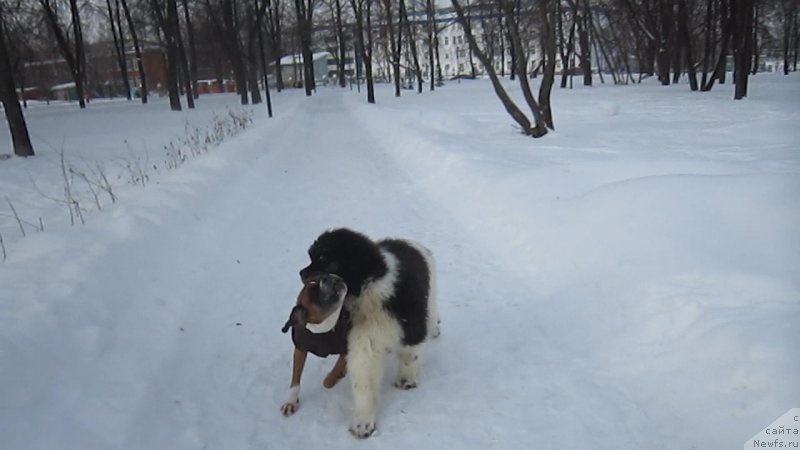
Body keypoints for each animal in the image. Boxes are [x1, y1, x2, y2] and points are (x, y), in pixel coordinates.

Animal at [280, 270, 348, 414]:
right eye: (313, 294)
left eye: (320, 278)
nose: (327, 276)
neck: (323, 329)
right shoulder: (300, 350)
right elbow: (295, 379)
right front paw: (291, 401)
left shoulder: (346, 350)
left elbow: (329, 380)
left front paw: (333, 378)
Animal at [300, 227, 440, 438]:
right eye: (312, 257)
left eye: (324, 259)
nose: (301, 272)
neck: (369, 291)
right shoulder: (363, 340)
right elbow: (364, 380)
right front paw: (363, 421)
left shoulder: (411, 323)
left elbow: (410, 354)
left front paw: (406, 379)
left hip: (430, 295)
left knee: (431, 314)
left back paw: (435, 327)